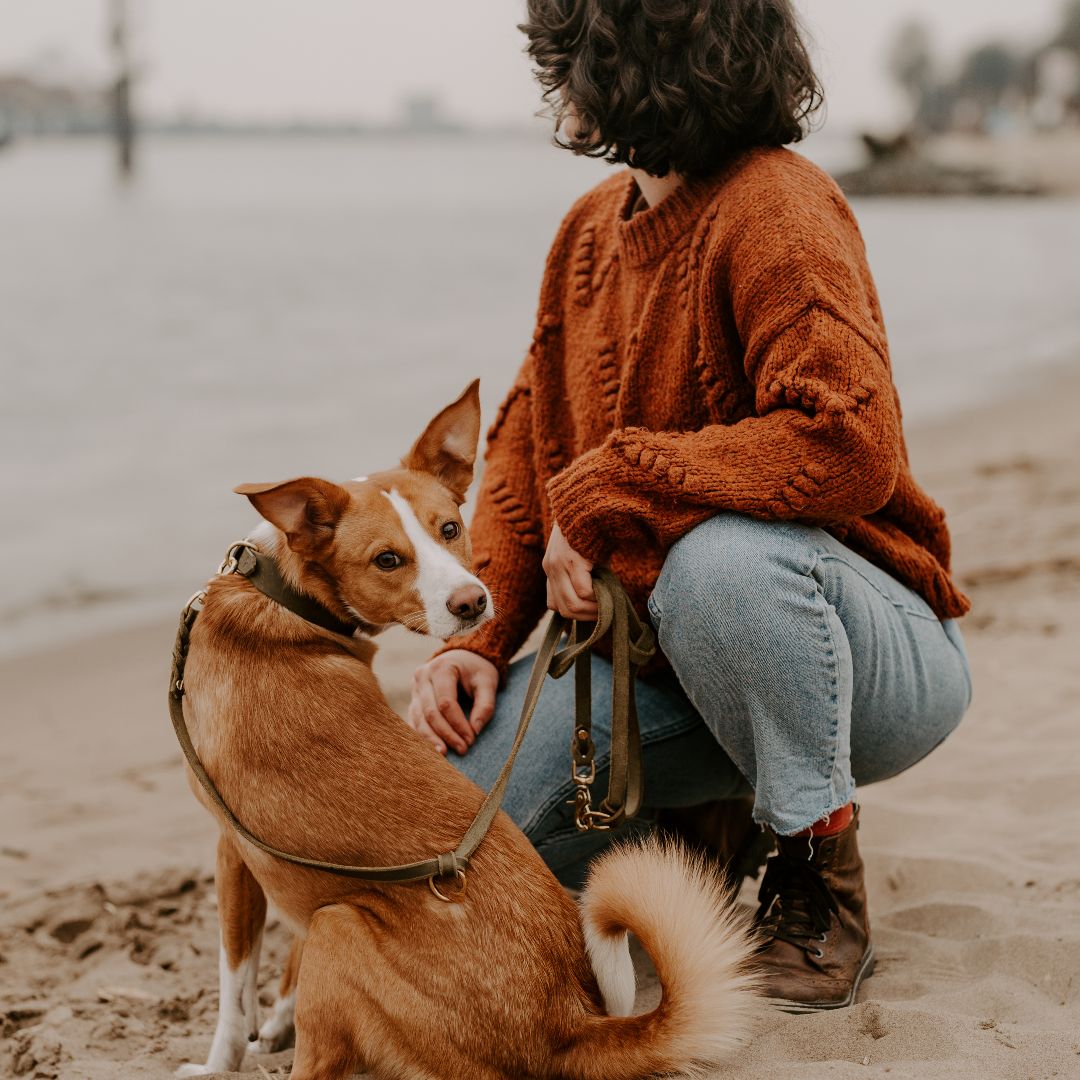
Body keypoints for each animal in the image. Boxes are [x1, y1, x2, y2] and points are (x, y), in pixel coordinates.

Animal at [172, 382, 760, 1080]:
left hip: (341, 924)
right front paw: (276, 1020)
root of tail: (566, 1025)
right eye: (387, 559)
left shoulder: (231, 851)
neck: (282, 599)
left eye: (450, 528)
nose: (473, 602)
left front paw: (218, 1063)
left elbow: (233, 996)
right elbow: (278, 972)